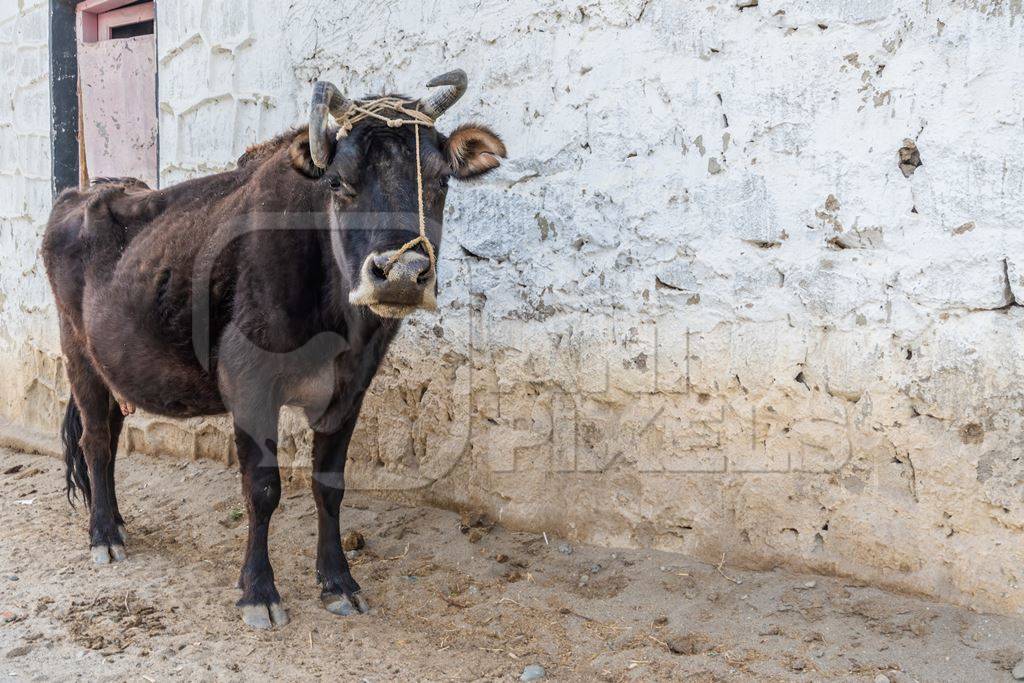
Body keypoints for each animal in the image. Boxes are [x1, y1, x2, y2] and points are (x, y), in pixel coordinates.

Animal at [41, 70, 505, 630]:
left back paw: (116, 521)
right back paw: (104, 536)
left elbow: (330, 484)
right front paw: (259, 591)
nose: (399, 274)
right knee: (96, 442)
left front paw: (339, 582)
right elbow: (262, 490)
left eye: (440, 181)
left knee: (107, 435)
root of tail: (87, 190)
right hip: (77, 353)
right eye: (338, 182)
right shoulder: (249, 386)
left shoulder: (350, 388)